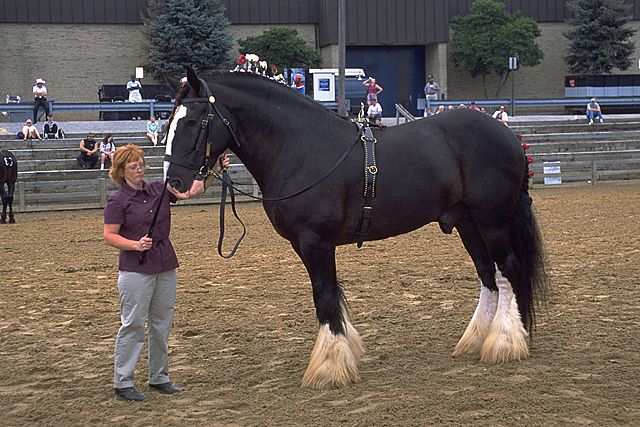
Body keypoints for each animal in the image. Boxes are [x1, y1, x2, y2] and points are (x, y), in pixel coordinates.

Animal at [162, 67, 548, 392]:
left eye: (192, 120)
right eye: (170, 120)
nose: (174, 184)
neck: (301, 147)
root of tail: (509, 136)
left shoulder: (316, 243)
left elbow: (325, 298)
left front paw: (329, 368)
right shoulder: (306, 246)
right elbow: (331, 296)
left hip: (492, 222)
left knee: (507, 272)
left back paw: (505, 343)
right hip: (469, 225)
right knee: (488, 277)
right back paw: (477, 341)